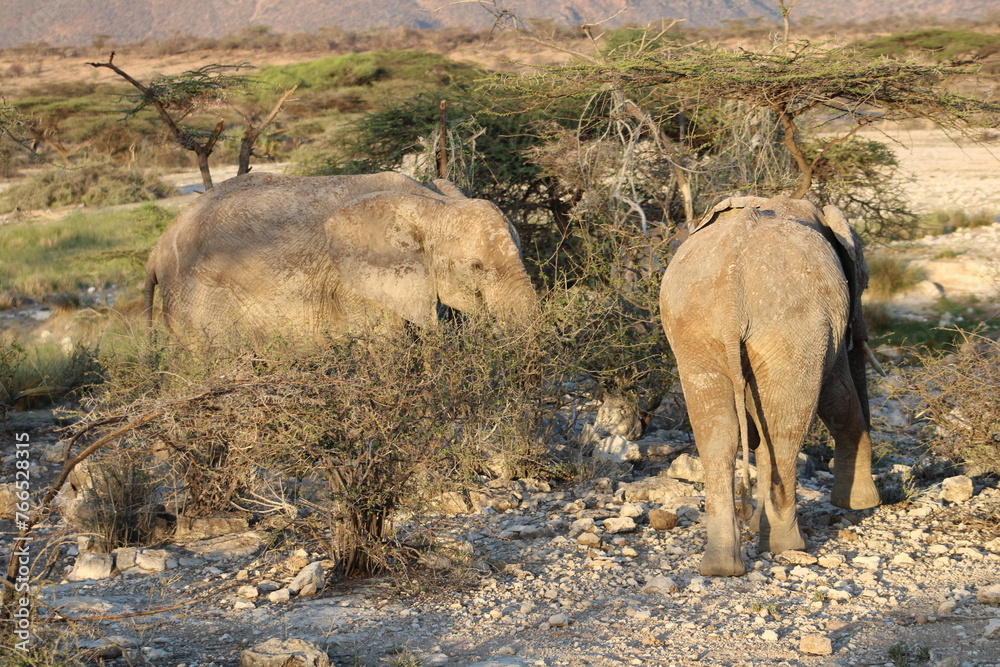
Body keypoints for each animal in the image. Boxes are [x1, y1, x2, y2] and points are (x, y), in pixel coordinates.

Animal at [659, 195, 883, 577]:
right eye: (864, 284)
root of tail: (730, 295)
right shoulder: (827, 332)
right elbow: (837, 397)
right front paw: (862, 504)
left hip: (693, 329)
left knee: (718, 433)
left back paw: (722, 567)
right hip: (792, 327)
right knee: (784, 430)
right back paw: (787, 546)